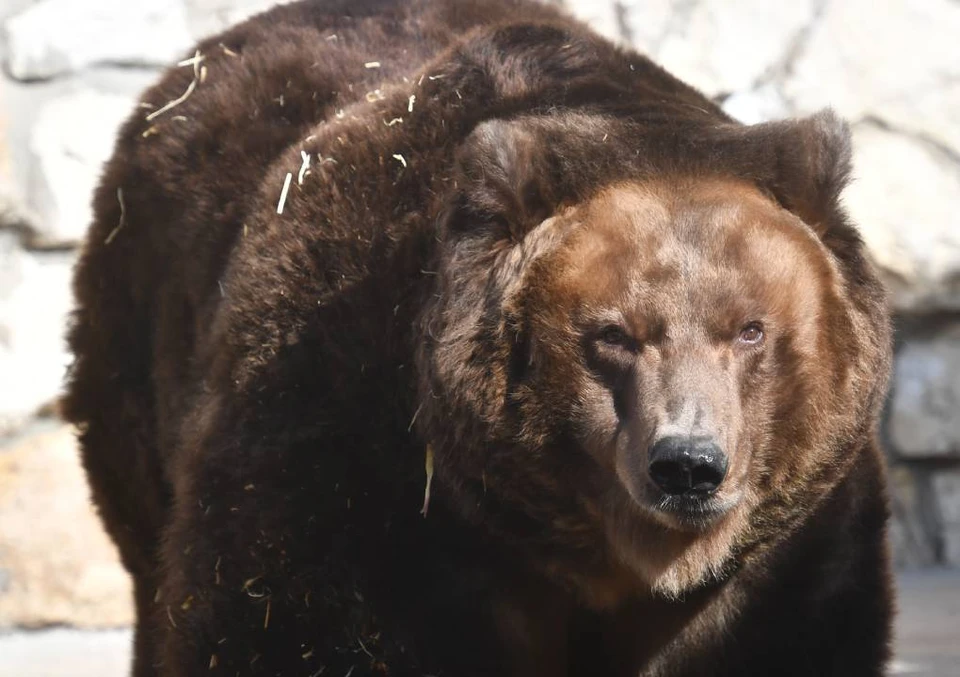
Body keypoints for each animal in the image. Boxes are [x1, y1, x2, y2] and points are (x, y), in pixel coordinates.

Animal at [65, 1, 892, 676]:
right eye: (614, 335)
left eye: (750, 329)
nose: (688, 464)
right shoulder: (353, 453)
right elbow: (285, 617)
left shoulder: (784, 559)